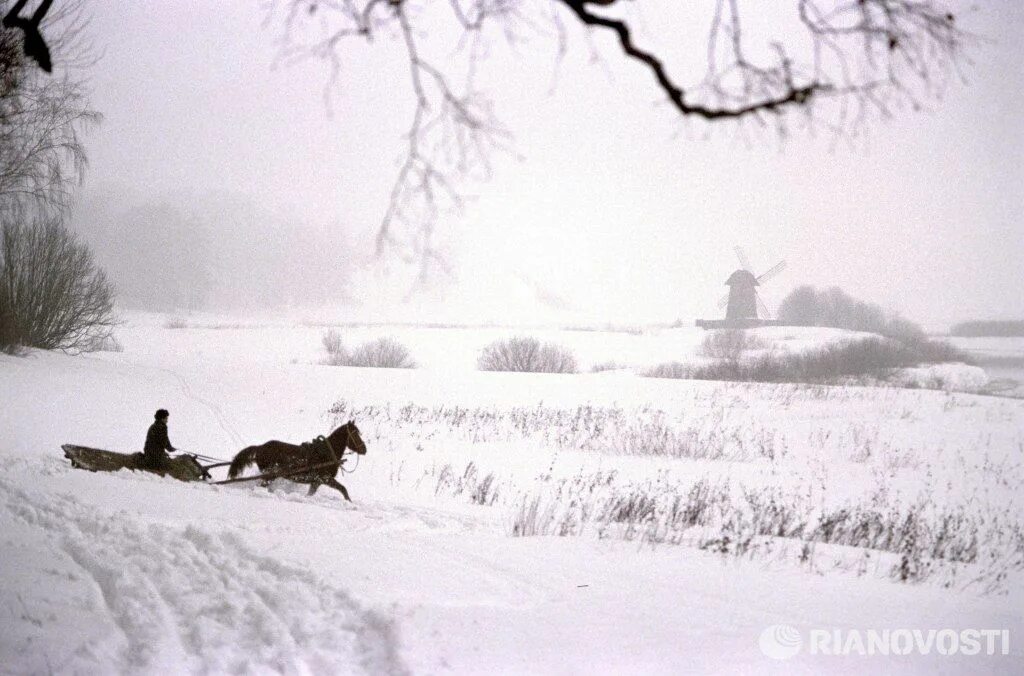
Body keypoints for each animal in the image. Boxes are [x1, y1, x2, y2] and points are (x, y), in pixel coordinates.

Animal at [228, 421, 368, 501]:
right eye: (354, 434)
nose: (364, 449)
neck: (327, 453)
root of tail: (260, 447)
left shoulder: (316, 482)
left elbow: (311, 494)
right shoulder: (324, 479)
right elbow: (343, 489)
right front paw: (350, 503)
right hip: (270, 476)